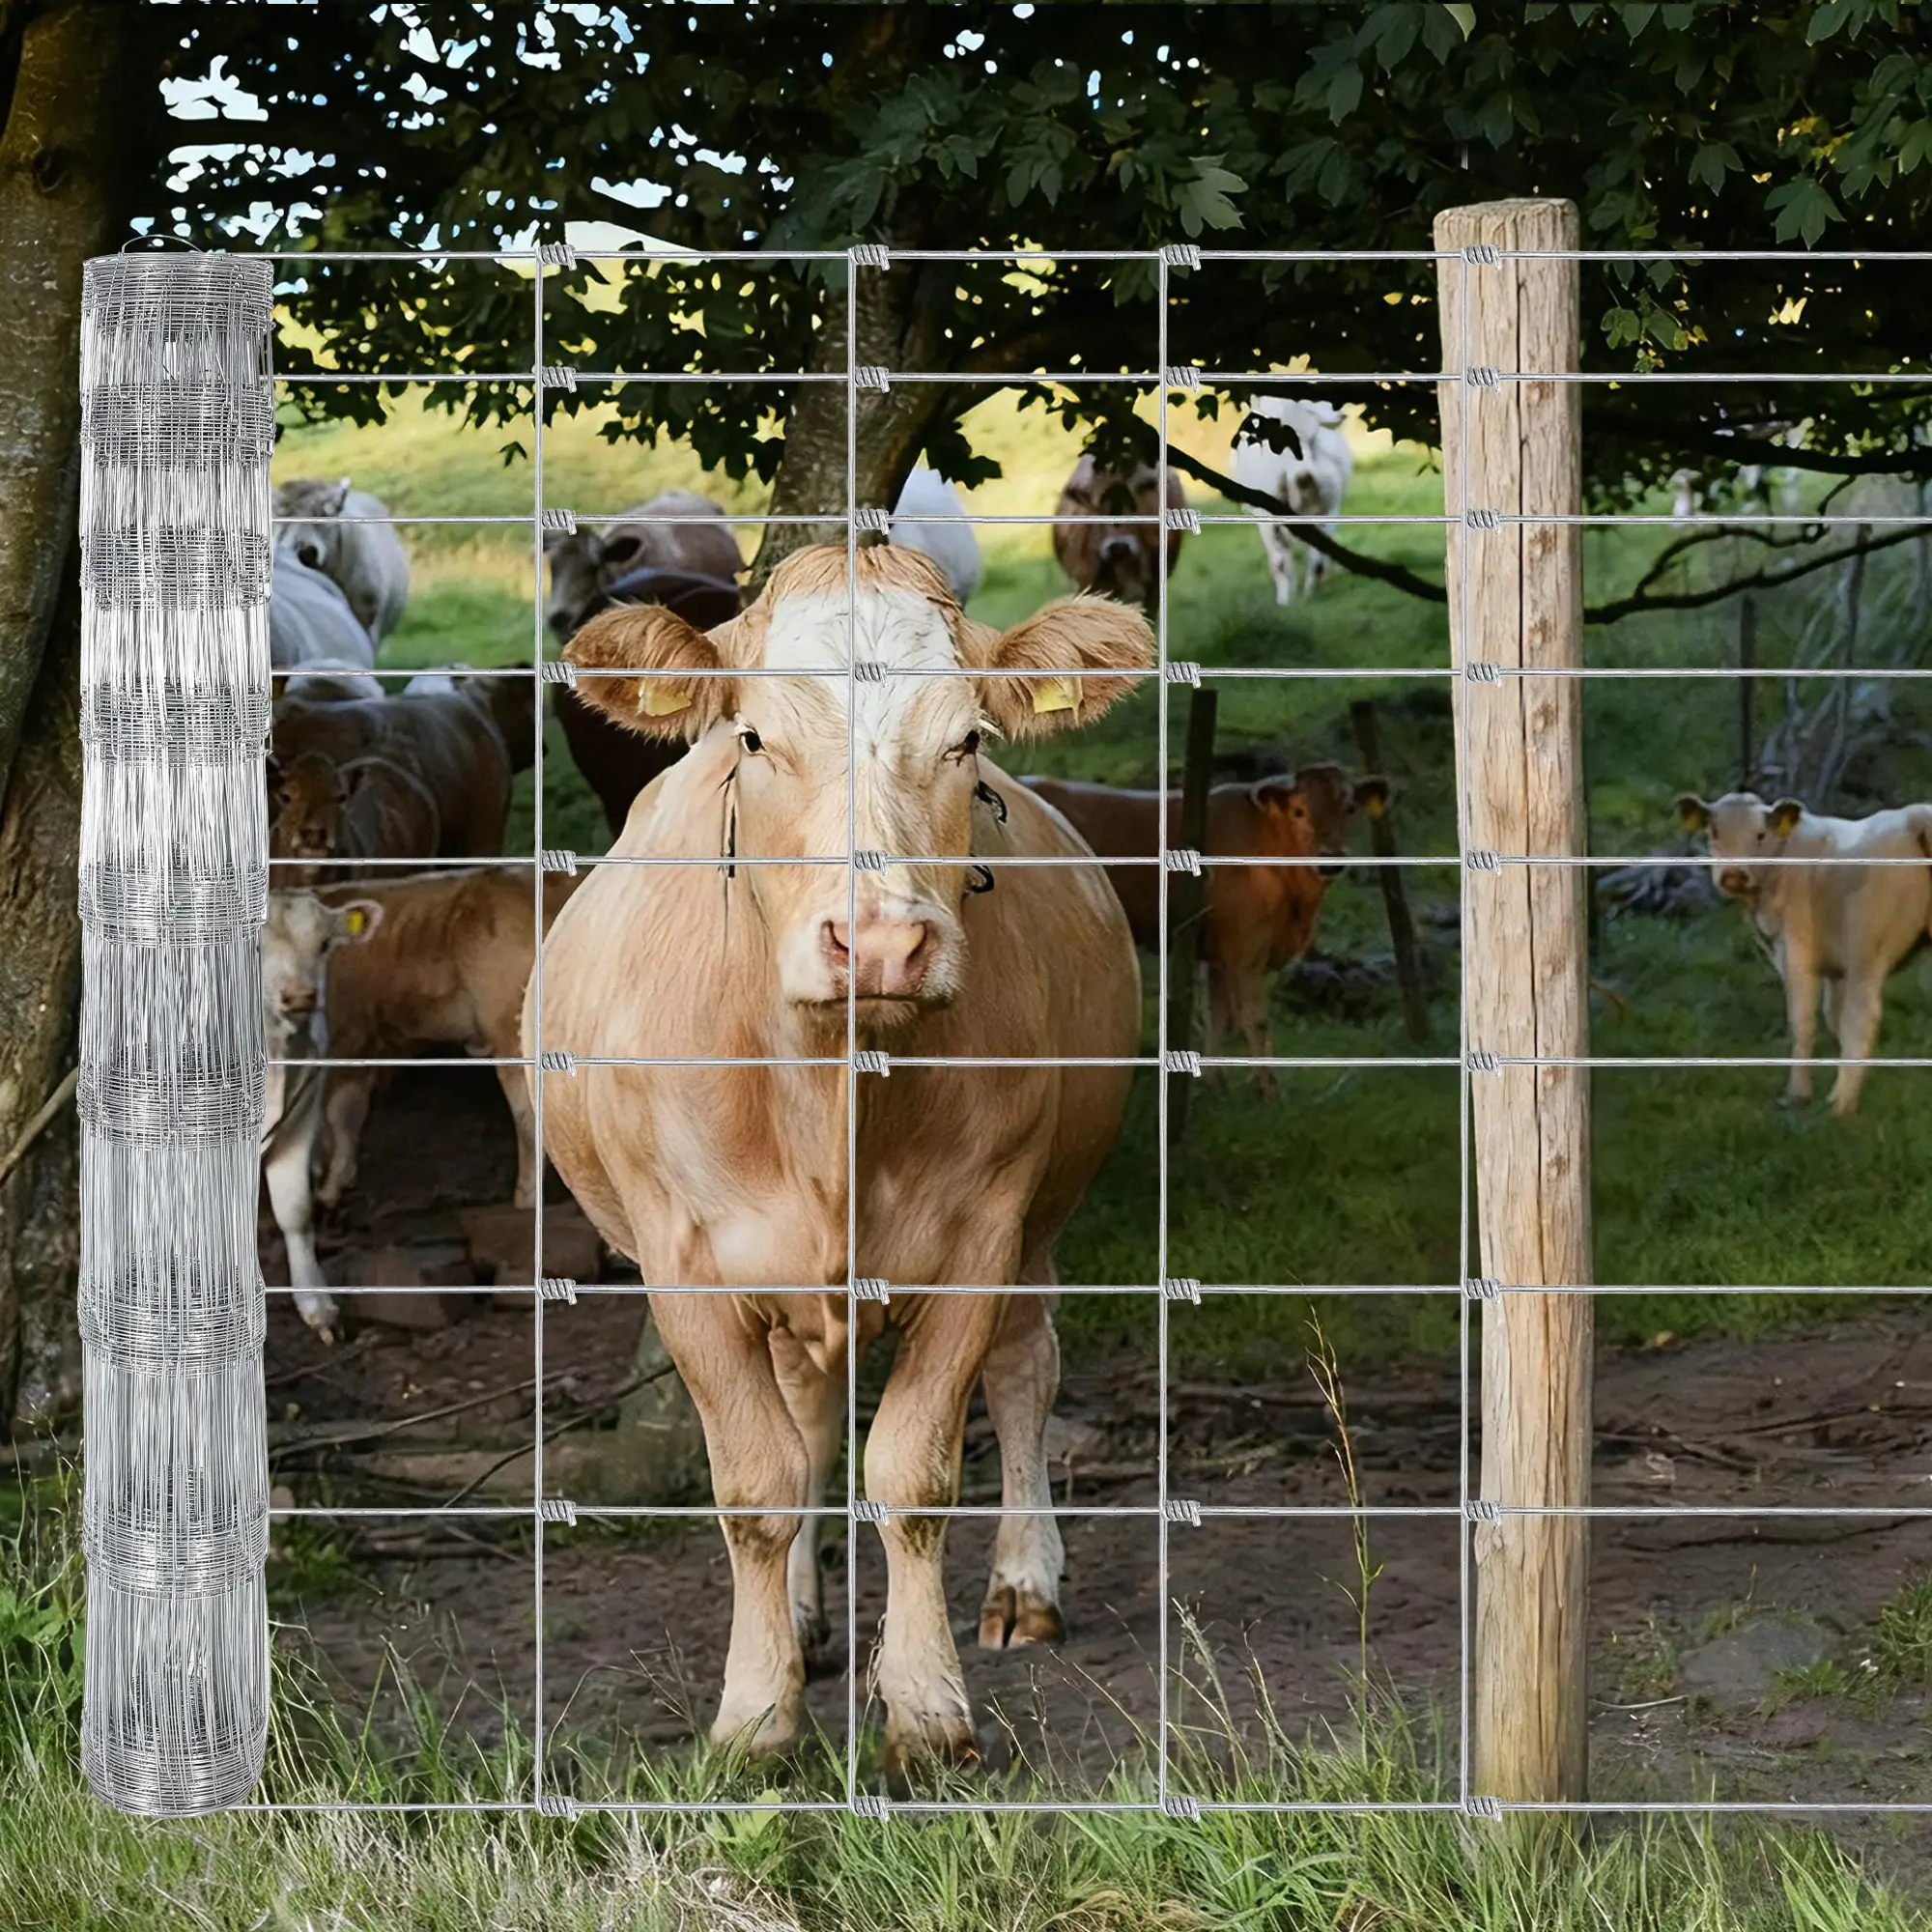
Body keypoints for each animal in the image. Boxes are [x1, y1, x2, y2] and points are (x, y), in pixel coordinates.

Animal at [526, 543, 1150, 1776]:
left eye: (967, 740)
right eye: (754, 736)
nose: (878, 942)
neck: (829, 1097)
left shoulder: (982, 1232)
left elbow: (912, 1470)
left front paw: (924, 1705)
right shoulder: (683, 1259)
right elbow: (757, 1479)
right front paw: (756, 1710)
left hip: (1042, 1220)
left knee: (1024, 1370)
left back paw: (1024, 1582)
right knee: (807, 1416)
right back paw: (807, 1618)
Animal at [1023, 765, 1388, 1095]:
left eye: (1350, 808)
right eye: (1299, 811)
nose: (1331, 858)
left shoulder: (1219, 953)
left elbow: (1218, 1017)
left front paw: (1215, 1085)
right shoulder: (1245, 950)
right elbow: (1254, 1020)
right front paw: (1270, 1091)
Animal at [1230, 397, 1355, 605]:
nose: (1342, 413)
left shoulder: (1327, 509)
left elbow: (1316, 555)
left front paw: (1310, 593)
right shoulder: (1265, 518)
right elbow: (1279, 561)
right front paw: (1285, 601)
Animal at [1676, 790, 1932, 1115]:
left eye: (1760, 835)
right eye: (1715, 832)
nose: (1733, 875)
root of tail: (1914, 817)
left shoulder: (1797, 951)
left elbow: (1803, 1021)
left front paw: (1798, 1094)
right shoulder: (1835, 968)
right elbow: (1832, 1016)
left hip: (1867, 949)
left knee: (1862, 1016)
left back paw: (1841, 1105)